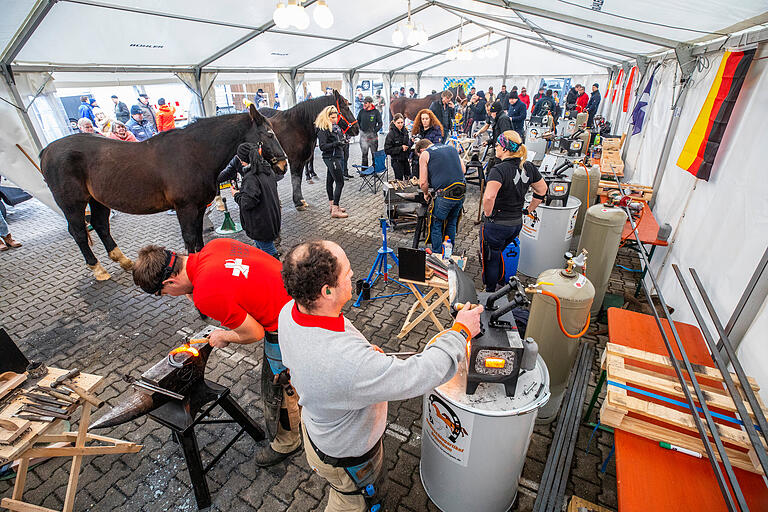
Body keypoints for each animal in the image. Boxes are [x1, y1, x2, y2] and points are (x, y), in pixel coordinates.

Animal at [42, 104, 288, 280]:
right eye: (269, 134)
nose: (283, 165)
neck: (194, 153)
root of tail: (46, 151)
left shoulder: (198, 207)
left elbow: (198, 238)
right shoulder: (185, 208)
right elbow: (190, 238)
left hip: (98, 200)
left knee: (101, 225)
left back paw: (124, 261)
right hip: (72, 204)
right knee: (79, 233)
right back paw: (98, 269)